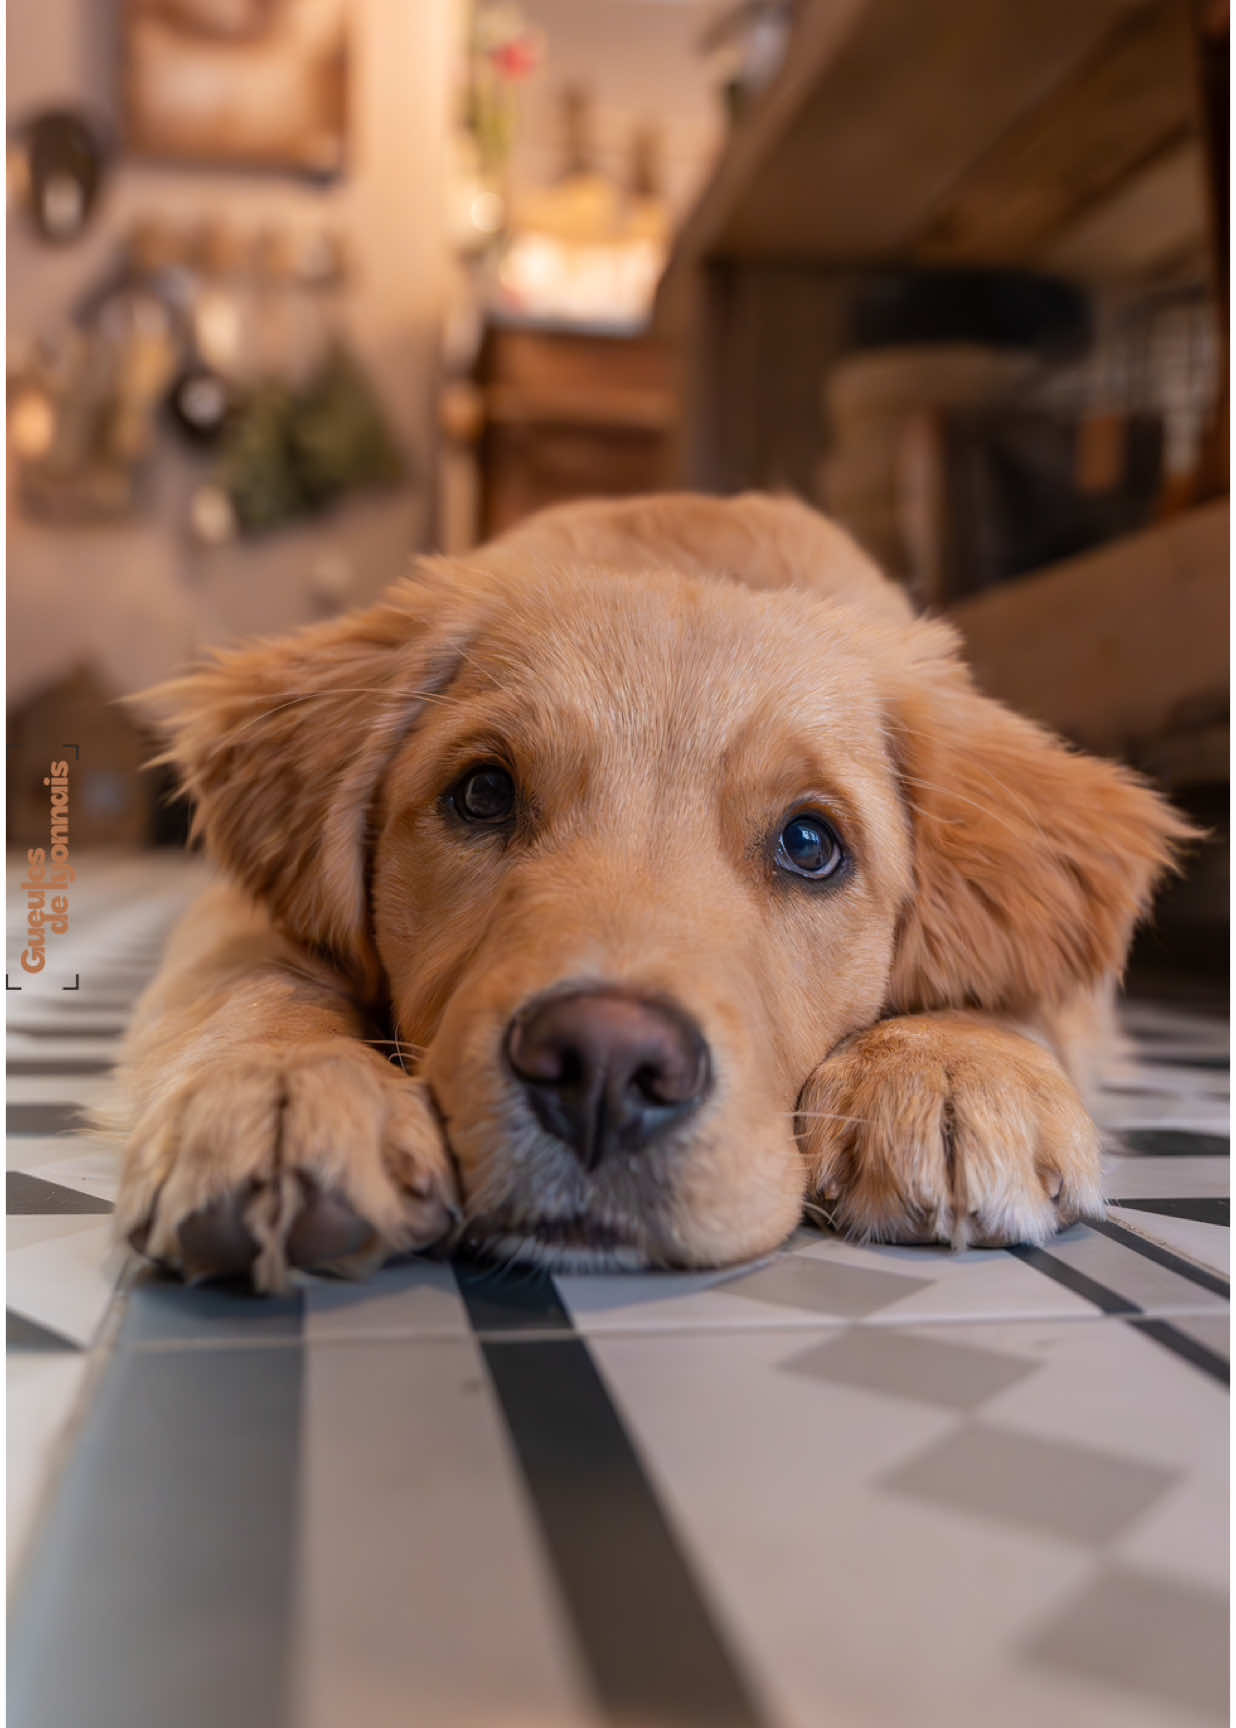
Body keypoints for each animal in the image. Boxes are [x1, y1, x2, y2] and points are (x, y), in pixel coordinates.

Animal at [111, 494, 1196, 1292]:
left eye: (811, 844)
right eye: (483, 793)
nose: (602, 1067)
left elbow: (1002, 976)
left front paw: (951, 1066)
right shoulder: (232, 907)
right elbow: (259, 970)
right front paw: (281, 1089)